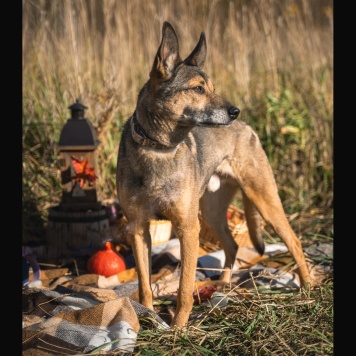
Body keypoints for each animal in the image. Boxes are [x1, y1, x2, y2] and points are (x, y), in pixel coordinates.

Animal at [117, 21, 312, 328]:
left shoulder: (188, 228)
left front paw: (178, 328)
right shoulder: (137, 228)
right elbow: (144, 284)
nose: (235, 111)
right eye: (197, 89)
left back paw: (307, 288)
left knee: (293, 240)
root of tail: (247, 127)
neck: (158, 149)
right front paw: (148, 317)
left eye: (212, 88)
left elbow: (184, 287)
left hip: (263, 201)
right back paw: (223, 285)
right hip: (211, 211)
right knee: (231, 245)